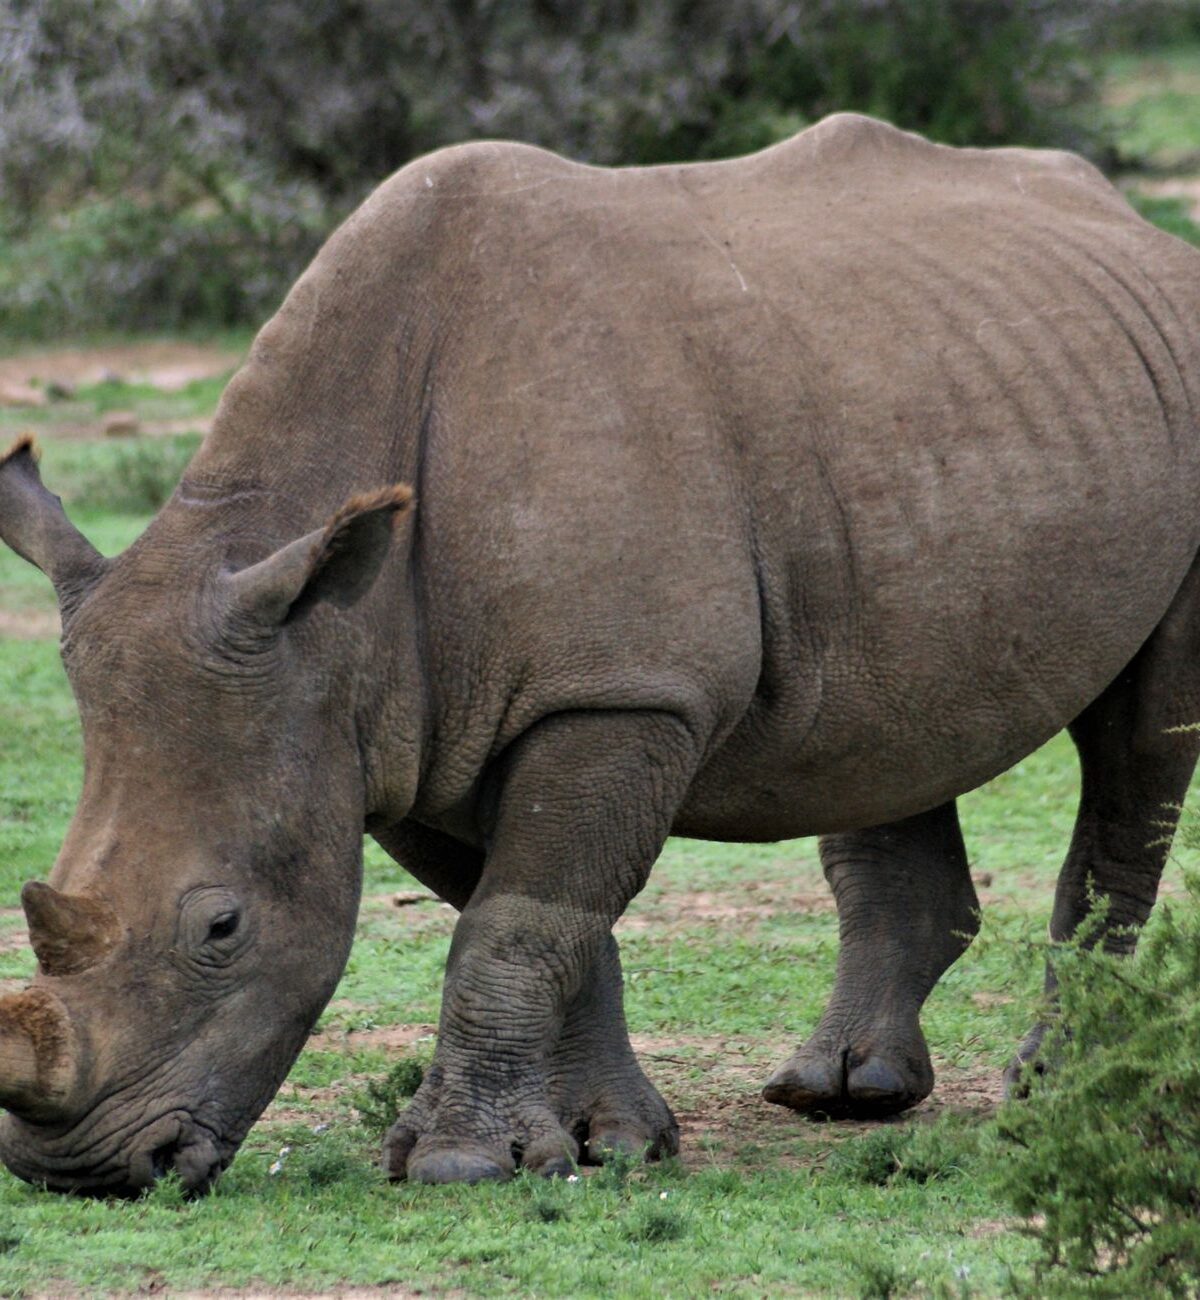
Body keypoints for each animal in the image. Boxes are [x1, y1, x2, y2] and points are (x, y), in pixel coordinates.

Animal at [1, 112, 1199, 1193]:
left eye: (222, 926)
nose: (79, 1170)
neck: (331, 623)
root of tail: (1137, 230)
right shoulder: (402, 728)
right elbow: (542, 919)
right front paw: (614, 1142)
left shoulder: (614, 695)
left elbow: (515, 925)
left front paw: (459, 1164)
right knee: (890, 727)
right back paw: (842, 1090)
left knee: (1141, 744)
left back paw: (1056, 1087)